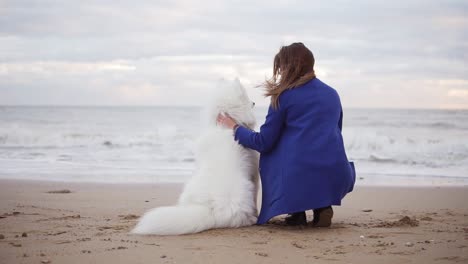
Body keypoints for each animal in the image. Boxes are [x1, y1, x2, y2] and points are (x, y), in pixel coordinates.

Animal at [132, 78, 260, 235]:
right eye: (247, 98)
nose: (254, 102)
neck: (223, 126)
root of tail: (211, 211)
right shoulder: (254, 174)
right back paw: (252, 219)